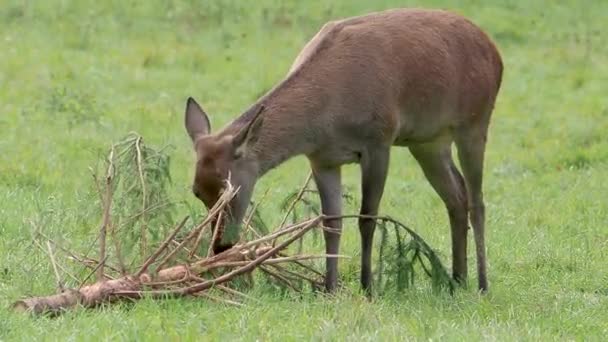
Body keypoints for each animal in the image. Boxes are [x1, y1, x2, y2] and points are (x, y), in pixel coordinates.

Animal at [184, 7, 504, 294]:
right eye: (197, 191)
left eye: (231, 190)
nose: (220, 245)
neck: (327, 115)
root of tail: (495, 52)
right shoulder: (322, 159)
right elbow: (331, 223)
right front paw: (330, 287)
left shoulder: (379, 141)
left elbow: (367, 217)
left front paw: (367, 286)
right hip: (428, 142)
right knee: (456, 196)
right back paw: (456, 280)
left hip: (475, 121)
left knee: (477, 201)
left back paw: (482, 284)